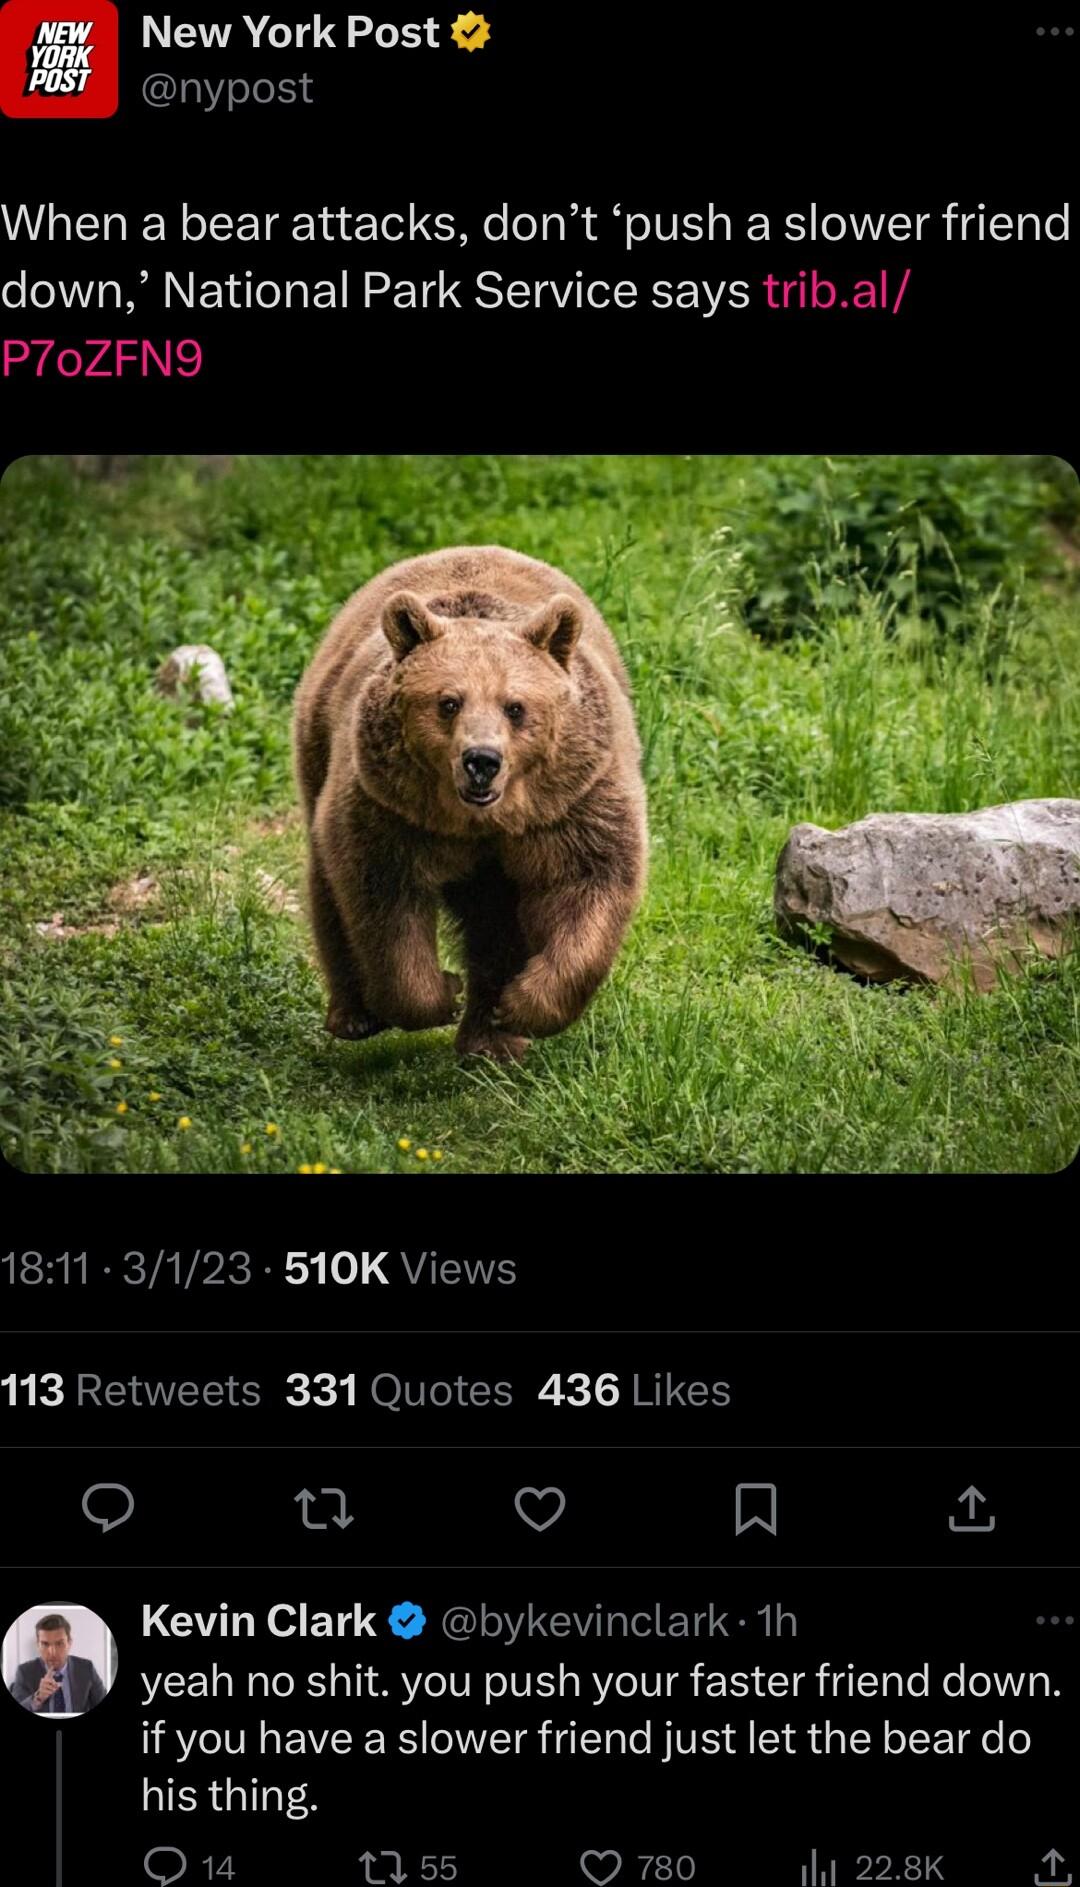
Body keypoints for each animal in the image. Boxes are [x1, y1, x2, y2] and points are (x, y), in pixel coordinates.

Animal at [292, 544, 648, 1061]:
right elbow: (383, 901)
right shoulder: (392, 810)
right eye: (448, 702)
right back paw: (355, 1016)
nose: (482, 761)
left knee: (496, 924)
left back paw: (491, 1040)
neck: (480, 822)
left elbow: (590, 881)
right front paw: (442, 991)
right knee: (328, 889)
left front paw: (520, 1006)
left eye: (515, 706)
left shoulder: (571, 804)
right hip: (321, 750)